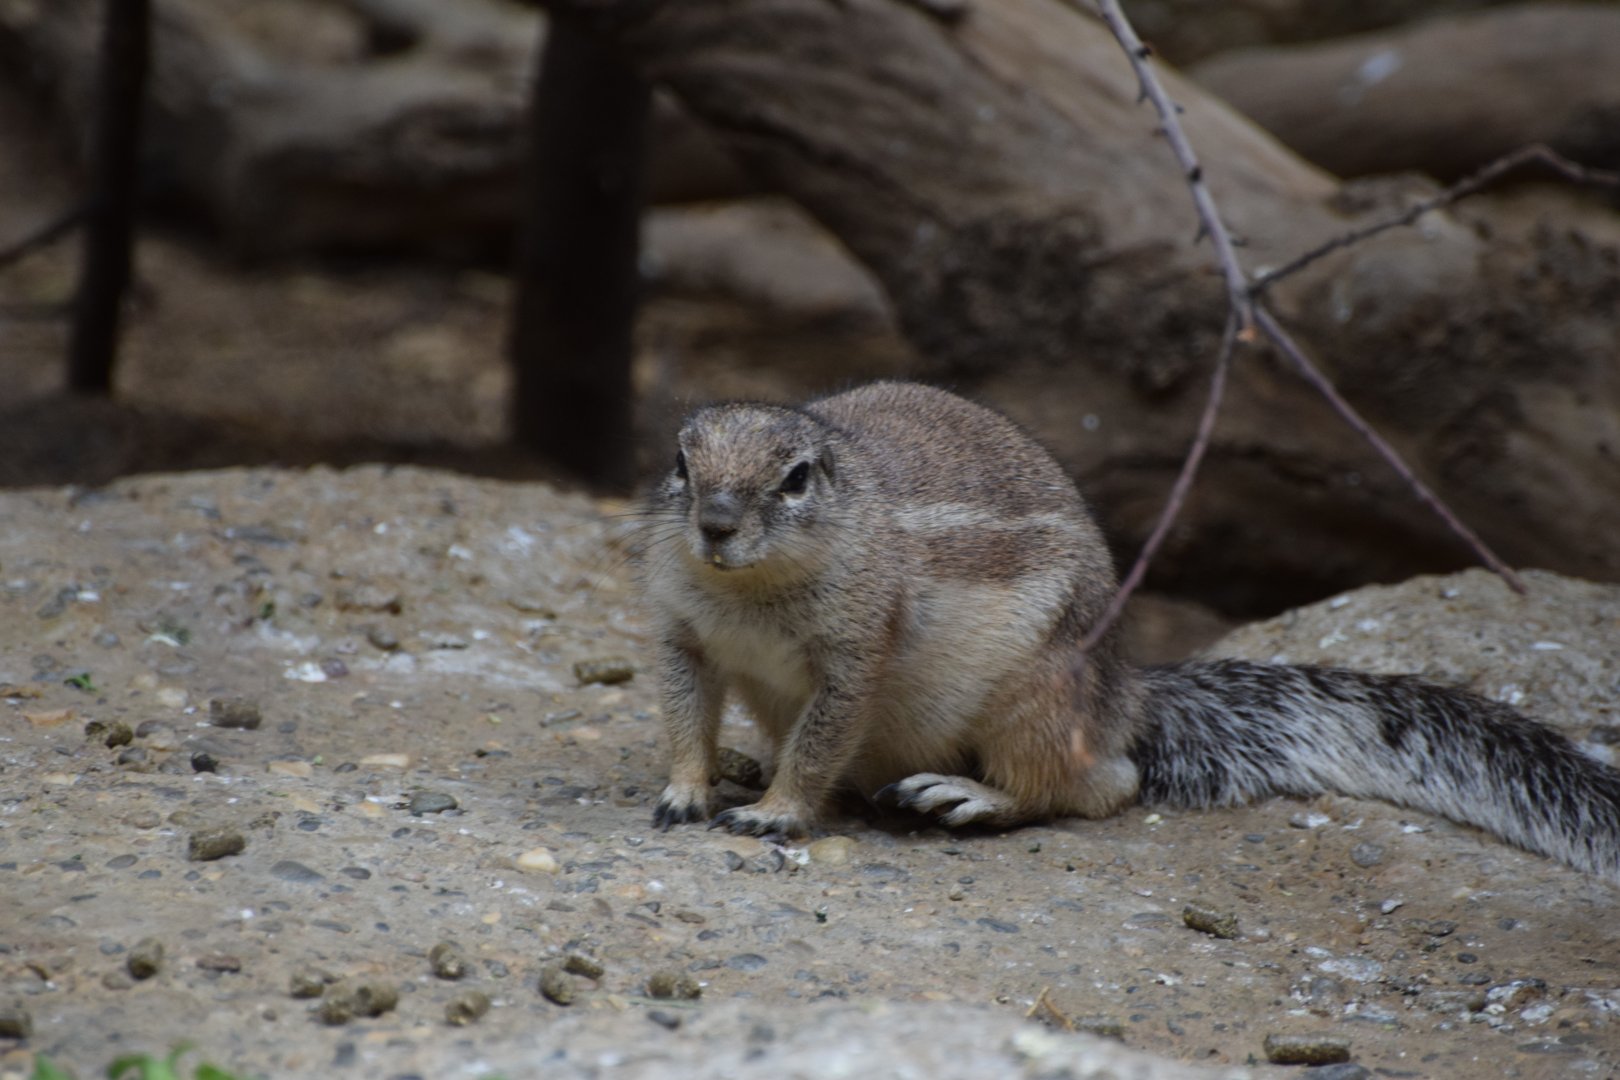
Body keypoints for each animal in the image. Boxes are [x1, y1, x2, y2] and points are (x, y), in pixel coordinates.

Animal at [639, 380, 1620, 883]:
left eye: (797, 478)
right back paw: (748, 760)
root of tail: (1124, 696)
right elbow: (684, 716)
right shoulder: (683, 634)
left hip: (1034, 697)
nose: (715, 525)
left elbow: (820, 745)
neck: (747, 592)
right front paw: (689, 788)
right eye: (680, 462)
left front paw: (777, 813)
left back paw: (968, 797)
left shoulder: (853, 657)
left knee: (1099, 783)